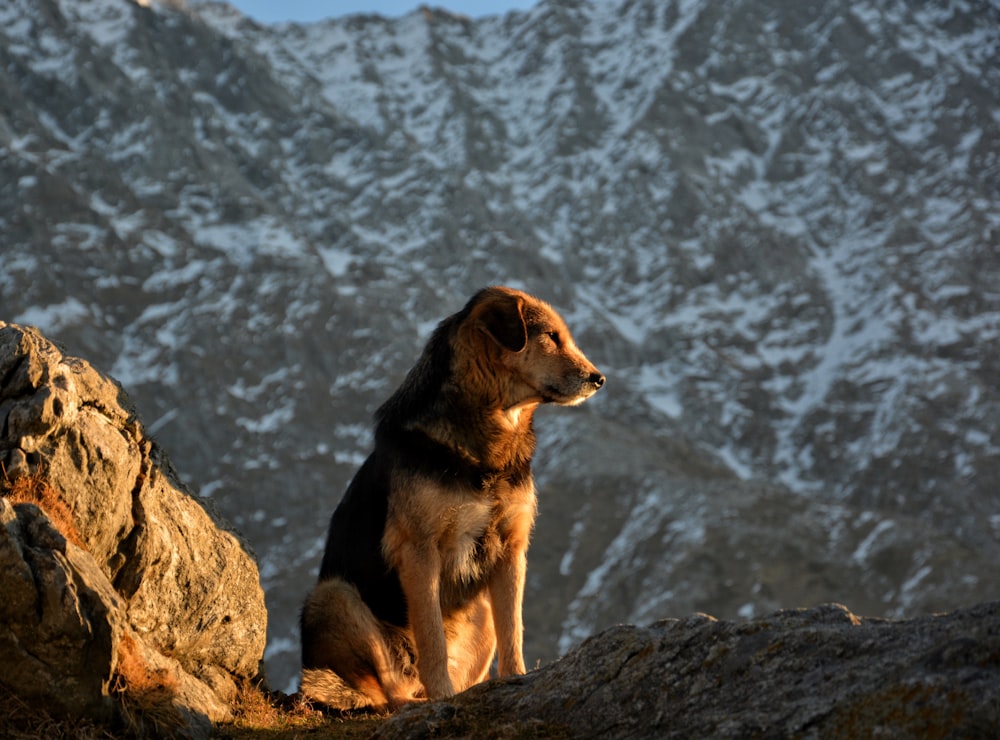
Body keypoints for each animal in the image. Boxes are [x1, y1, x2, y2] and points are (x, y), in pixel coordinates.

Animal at [296, 284, 604, 712]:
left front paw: (517, 679)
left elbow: (513, 630)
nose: (599, 379)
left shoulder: (511, 548)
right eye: (550, 336)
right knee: (386, 692)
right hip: (333, 596)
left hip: (479, 611)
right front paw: (443, 696)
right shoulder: (419, 549)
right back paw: (416, 700)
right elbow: (432, 638)